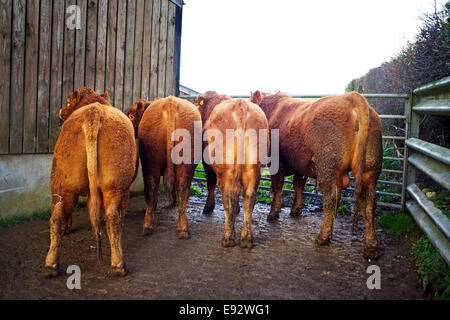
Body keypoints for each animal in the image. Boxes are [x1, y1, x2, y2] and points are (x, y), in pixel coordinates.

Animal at [45, 88, 138, 278]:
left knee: (57, 217)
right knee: (112, 217)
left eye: (67, 101)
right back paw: (118, 264)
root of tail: (93, 112)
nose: (60, 111)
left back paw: (51, 265)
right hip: (115, 184)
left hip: (62, 183)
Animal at [126, 96, 200, 239]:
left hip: (150, 161)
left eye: (131, 116)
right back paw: (183, 229)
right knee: (182, 188)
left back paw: (148, 225)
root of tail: (171, 102)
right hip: (185, 162)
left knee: (151, 186)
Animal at [195, 91, 268, 249]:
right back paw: (246, 239)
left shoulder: (206, 163)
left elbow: (210, 184)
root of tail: (241, 104)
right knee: (249, 197)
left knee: (228, 196)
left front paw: (208, 207)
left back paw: (228, 238)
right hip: (253, 168)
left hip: (226, 169)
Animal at [251, 90, 382, 260]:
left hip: (327, 168)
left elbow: (278, 187)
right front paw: (296, 209)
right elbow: (298, 185)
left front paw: (273, 213)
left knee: (331, 198)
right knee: (369, 202)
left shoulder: (277, 163)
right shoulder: (300, 166)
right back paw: (371, 247)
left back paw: (323, 237)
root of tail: (352, 97)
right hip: (369, 170)